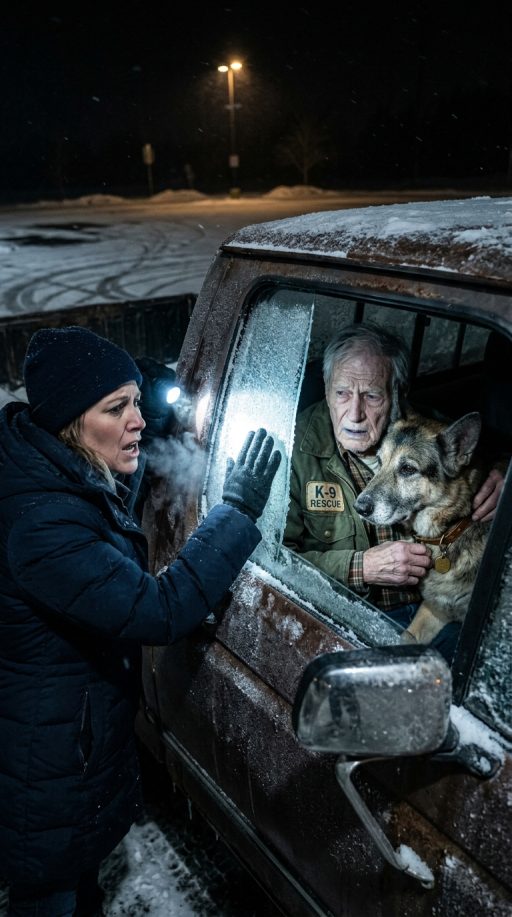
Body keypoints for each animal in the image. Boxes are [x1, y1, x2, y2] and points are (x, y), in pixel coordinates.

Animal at [354, 410, 490, 646]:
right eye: (379, 461)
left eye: (408, 469)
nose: (359, 507)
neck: (448, 532)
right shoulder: (433, 611)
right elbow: (406, 638)